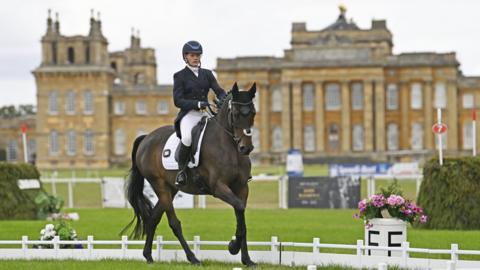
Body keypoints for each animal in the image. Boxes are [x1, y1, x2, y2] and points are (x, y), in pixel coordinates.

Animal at [124, 82, 258, 268]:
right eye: (236, 114)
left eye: (253, 112)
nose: (246, 148)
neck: (229, 147)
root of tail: (146, 138)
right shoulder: (218, 187)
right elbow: (239, 207)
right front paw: (233, 247)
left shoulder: (242, 187)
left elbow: (241, 215)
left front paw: (246, 259)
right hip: (159, 185)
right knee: (174, 223)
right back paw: (193, 258)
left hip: (171, 188)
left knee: (153, 218)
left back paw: (149, 256)